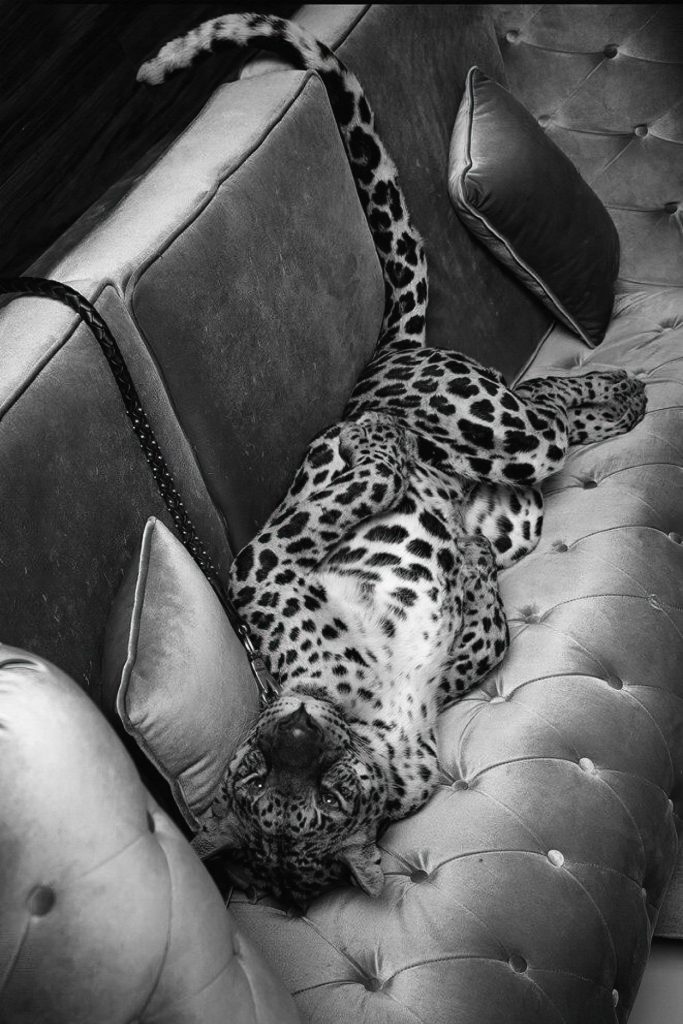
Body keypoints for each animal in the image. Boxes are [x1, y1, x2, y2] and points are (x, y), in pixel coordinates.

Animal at [138, 13, 647, 907]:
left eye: (315, 786)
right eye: (266, 788)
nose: (295, 728)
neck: (364, 718)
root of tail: (384, 359)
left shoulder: (259, 564)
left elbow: (363, 481)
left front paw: (375, 447)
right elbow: (483, 626)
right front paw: (465, 569)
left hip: (484, 422)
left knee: (541, 403)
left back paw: (604, 393)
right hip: (510, 492)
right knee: (542, 418)